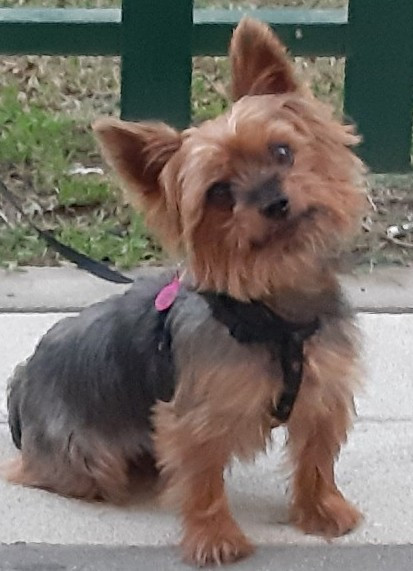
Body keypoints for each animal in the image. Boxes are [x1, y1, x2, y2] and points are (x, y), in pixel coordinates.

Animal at [5, 18, 366, 566]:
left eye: (282, 151)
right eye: (218, 191)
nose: (275, 202)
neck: (275, 311)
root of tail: (25, 375)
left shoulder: (324, 392)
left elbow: (316, 457)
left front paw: (322, 509)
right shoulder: (193, 419)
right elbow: (201, 480)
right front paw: (215, 537)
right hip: (83, 455)